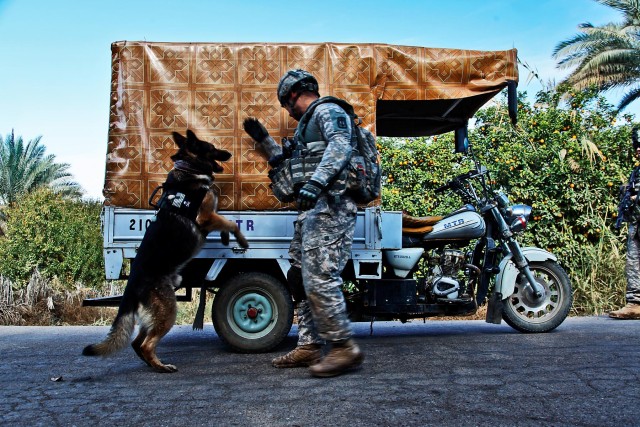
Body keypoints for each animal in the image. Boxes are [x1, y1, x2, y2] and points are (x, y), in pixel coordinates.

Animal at [82, 131, 248, 374]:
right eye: (211, 147)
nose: (229, 153)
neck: (189, 169)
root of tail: (132, 286)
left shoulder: (210, 217)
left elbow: (225, 223)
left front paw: (227, 238)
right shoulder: (205, 217)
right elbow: (231, 223)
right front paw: (241, 239)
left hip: (154, 314)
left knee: (137, 342)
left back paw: (152, 364)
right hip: (167, 310)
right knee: (146, 344)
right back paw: (162, 366)